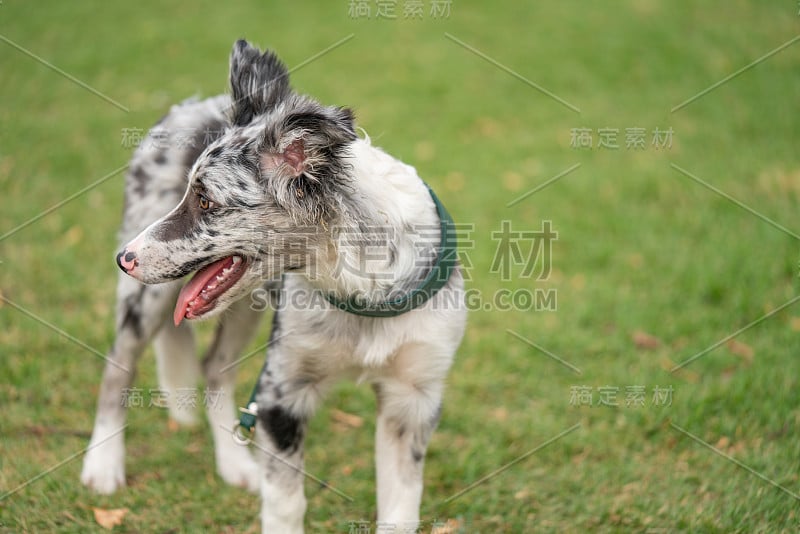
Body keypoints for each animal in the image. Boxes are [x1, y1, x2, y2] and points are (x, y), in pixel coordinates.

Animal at [81, 39, 466, 532]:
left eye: (205, 201)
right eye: (192, 194)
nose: (123, 258)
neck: (363, 291)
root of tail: (193, 103)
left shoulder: (412, 400)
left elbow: (401, 510)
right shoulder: (282, 394)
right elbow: (286, 503)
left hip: (244, 307)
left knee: (214, 367)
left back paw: (233, 465)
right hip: (146, 299)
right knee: (119, 366)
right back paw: (102, 466)